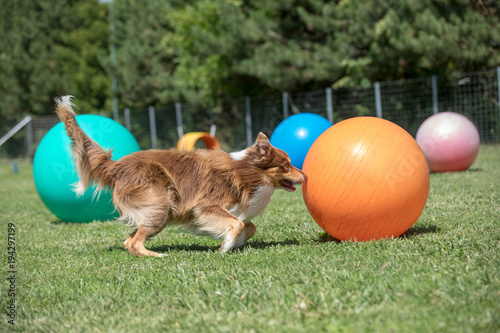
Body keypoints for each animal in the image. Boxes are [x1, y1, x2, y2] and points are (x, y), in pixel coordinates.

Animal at [53, 96, 304, 256]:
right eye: (286, 165)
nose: (306, 176)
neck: (247, 172)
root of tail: (116, 166)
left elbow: (249, 227)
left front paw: (231, 244)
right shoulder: (206, 206)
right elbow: (238, 224)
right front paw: (226, 247)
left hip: (158, 211)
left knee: (128, 240)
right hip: (160, 203)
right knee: (134, 243)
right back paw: (157, 257)